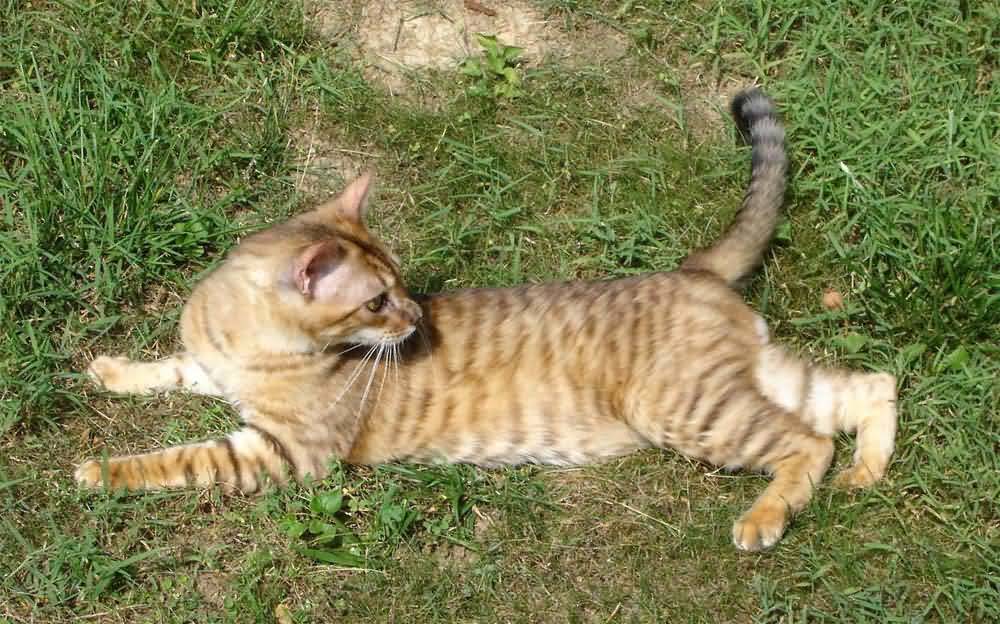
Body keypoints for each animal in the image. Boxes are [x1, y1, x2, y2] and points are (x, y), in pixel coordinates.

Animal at [78, 89, 900, 552]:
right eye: (377, 299)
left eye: (399, 286)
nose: (414, 318)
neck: (242, 340)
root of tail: (691, 270)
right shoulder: (211, 369)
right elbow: (169, 368)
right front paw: (112, 370)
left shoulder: (282, 454)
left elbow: (179, 460)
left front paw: (101, 471)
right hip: (750, 380)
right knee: (866, 388)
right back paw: (868, 470)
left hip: (688, 407)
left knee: (808, 440)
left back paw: (765, 519)